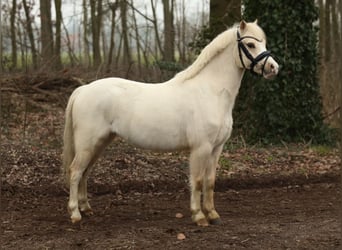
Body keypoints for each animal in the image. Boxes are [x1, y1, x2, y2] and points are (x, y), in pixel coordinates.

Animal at [63, 20, 278, 226]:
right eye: (250, 44)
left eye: (264, 43)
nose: (273, 68)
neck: (211, 92)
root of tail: (83, 90)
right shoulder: (201, 148)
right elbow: (197, 181)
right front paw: (199, 216)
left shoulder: (216, 148)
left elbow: (210, 182)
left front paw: (213, 215)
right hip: (88, 144)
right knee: (75, 172)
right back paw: (75, 214)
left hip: (99, 143)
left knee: (85, 172)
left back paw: (86, 208)